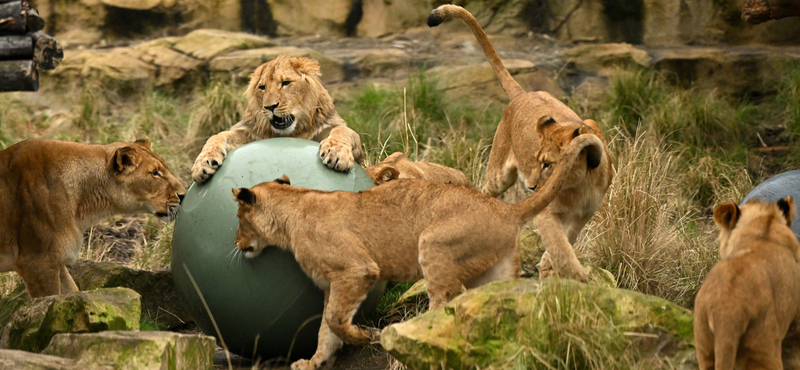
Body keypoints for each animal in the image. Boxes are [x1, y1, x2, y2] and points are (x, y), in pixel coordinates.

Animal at [191, 56, 362, 184]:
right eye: (262, 87)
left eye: (285, 83)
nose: (270, 106)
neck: (291, 132)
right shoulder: (248, 134)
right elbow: (217, 135)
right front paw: (203, 163)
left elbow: (343, 131)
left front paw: (336, 153)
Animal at [231, 134, 600, 370]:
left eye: (238, 218)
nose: (235, 243)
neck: (293, 209)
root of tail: (503, 209)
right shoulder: (330, 285)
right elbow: (325, 329)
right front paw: (315, 361)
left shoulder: (357, 270)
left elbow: (335, 321)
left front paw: (363, 337)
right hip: (493, 273)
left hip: (433, 243)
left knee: (440, 303)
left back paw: (412, 339)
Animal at [428, 4, 616, 282]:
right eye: (539, 162)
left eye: (548, 164)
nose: (532, 187)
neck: (581, 184)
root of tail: (522, 94)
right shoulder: (547, 213)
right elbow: (559, 244)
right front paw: (577, 276)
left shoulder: (585, 213)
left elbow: (567, 239)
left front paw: (549, 266)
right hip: (499, 176)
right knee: (484, 192)